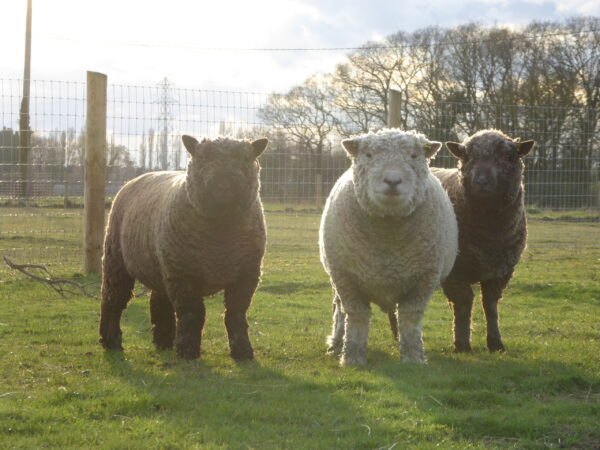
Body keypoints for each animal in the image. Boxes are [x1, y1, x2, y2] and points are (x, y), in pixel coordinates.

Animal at [99, 135, 268, 360]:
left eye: (243, 158)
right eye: (204, 157)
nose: (224, 184)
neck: (220, 236)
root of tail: (133, 181)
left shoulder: (246, 275)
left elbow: (236, 314)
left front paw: (242, 351)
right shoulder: (184, 275)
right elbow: (192, 313)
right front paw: (188, 351)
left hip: (161, 266)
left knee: (159, 301)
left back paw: (164, 341)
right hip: (117, 259)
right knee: (112, 299)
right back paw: (111, 341)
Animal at [322, 127, 458, 366]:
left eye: (414, 156)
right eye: (368, 155)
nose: (393, 181)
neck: (387, 234)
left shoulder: (424, 279)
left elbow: (410, 318)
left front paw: (413, 357)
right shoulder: (346, 279)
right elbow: (356, 317)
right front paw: (352, 358)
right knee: (339, 312)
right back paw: (336, 343)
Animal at [432, 128, 536, 354]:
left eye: (507, 156)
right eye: (467, 156)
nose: (481, 181)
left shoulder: (501, 271)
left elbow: (490, 304)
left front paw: (495, 343)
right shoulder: (456, 271)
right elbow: (464, 303)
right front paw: (462, 344)